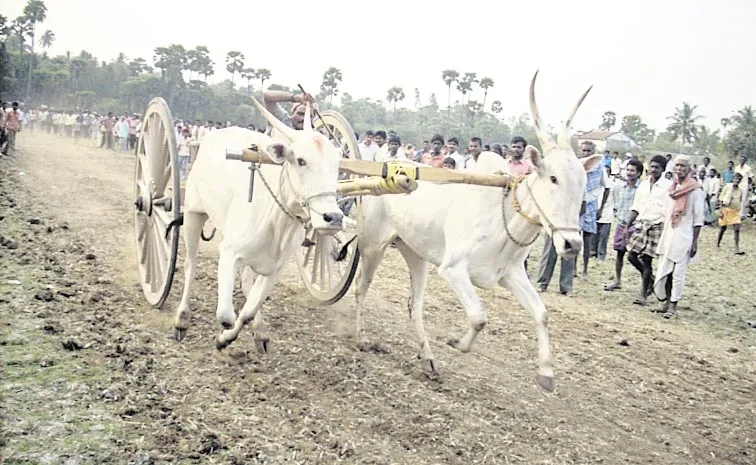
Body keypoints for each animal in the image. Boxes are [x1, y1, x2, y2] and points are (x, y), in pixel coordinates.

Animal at [173, 99, 342, 352]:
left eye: (338, 166)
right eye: (301, 160)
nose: (333, 217)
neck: (277, 223)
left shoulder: (274, 269)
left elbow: (247, 312)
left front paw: (227, 338)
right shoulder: (229, 252)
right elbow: (226, 314)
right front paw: (224, 335)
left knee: (245, 283)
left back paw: (259, 331)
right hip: (194, 213)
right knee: (190, 265)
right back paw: (182, 319)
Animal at [352, 71, 600, 392]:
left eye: (583, 181)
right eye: (554, 178)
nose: (572, 244)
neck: (504, 214)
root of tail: (385, 168)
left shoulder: (511, 274)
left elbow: (542, 314)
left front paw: (546, 373)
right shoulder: (453, 269)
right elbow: (479, 317)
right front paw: (457, 342)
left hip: (414, 252)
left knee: (414, 306)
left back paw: (427, 360)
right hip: (372, 245)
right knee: (361, 288)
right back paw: (360, 337)